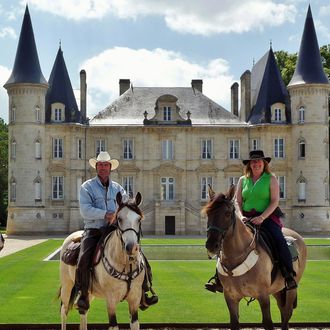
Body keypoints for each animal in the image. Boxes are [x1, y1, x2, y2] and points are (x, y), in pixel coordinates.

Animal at [59, 192, 146, 328]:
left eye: (138, 219)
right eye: (119, 219)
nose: (132, 248)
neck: (125, 264)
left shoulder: (134, 299)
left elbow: (135, 324)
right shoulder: (111, 300)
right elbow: (113, 325)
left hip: (87, 292)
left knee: (83, 311)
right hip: (67, 286)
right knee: (64, 311)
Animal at [204, 186, 306, 330]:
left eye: (227, 214)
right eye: (208, 213)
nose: (211, 245)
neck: (236, 256)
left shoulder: (263, 296)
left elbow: (268, 322)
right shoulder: (230, 297)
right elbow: (234, 323)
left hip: (290, 290)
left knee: (286, 314)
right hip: (278, 289)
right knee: (282, 310)